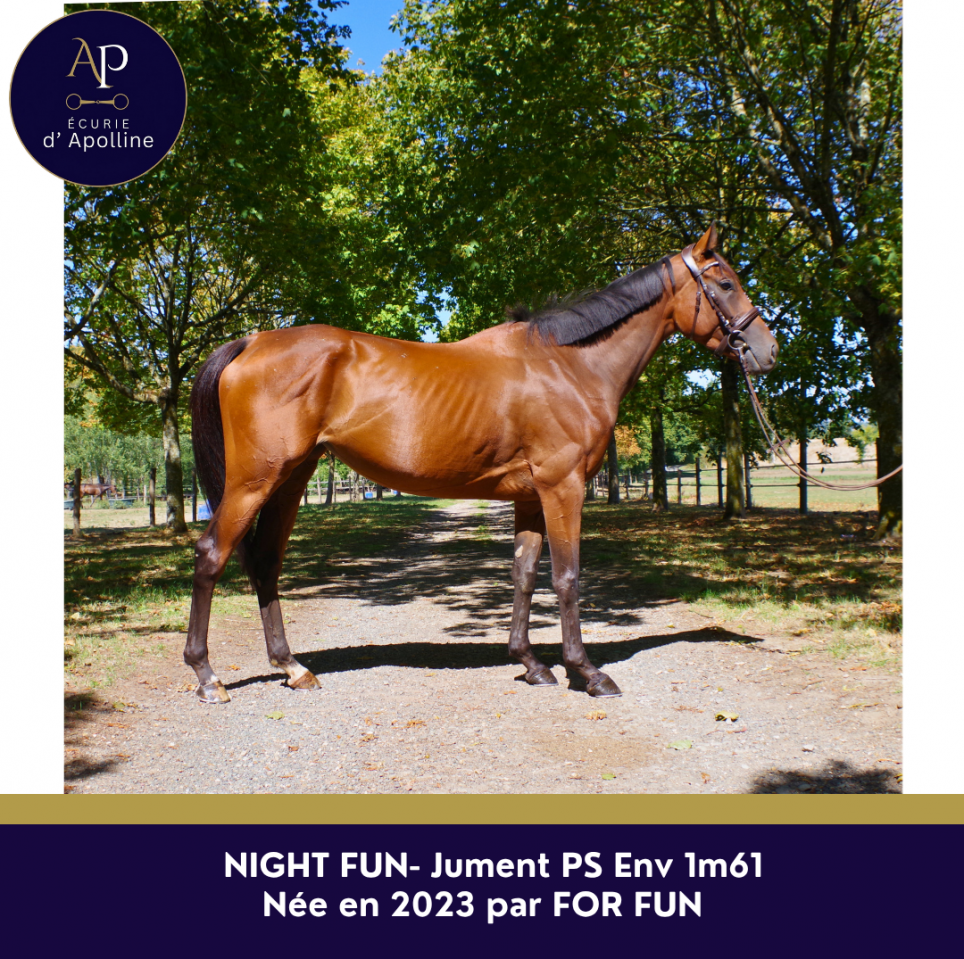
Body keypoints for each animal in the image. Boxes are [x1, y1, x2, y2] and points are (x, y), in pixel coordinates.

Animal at [185, 225, 778, 704]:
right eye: (726, 283)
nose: (767, 351)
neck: (568, 364)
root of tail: (252, 341)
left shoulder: (530, 497)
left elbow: (523, 573)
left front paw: (532, 664)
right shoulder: (563, 488)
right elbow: (567, 576)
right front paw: (587, 673)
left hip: (291, 478)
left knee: (265, 561)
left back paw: (292, 667)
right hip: (253, 481)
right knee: (212, 555)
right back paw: (208, 677)